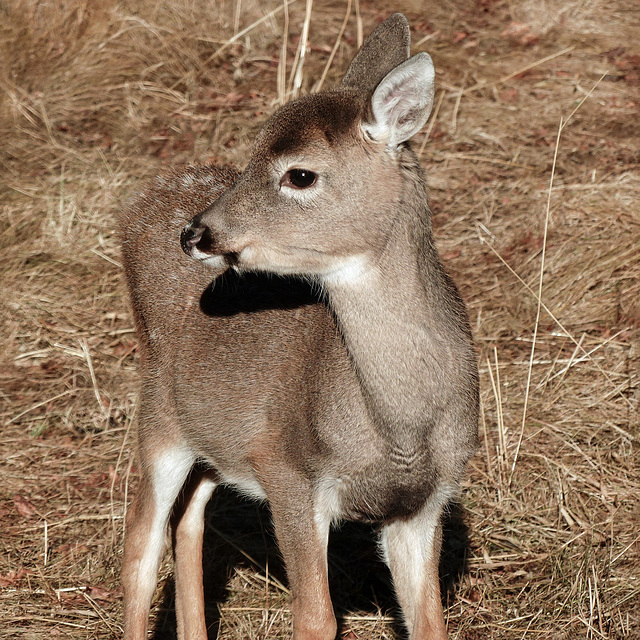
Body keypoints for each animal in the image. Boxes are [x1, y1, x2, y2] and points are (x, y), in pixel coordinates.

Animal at [120, 13, 478, 640]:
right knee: (139, 547)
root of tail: (145, 201)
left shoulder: (425, 499)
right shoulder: (286, 468)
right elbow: (316, 617)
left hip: (215, 435)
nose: (197, 233)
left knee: (188, 519)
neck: (401, 426)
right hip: (160, 416)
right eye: (252, 153)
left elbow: (429, 620)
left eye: (301, 175)